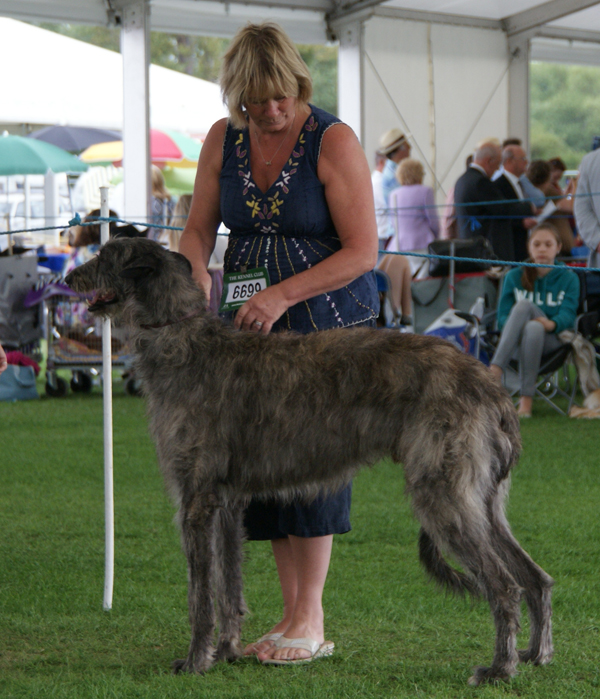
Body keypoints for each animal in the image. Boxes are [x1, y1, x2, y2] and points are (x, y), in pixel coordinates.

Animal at [64, 238, 552, 688]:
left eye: (106, 256)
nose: (69, 276)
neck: (182, 339)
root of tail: (490, 387)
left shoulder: (196, 500)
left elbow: (200, 595)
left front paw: (196, 660)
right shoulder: (226, 503)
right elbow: (229, 586)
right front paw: (226, 651)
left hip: (443, 494)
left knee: (505, 585)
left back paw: (499, 669)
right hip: (482, 500)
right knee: (536, 577)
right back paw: (535, 655)